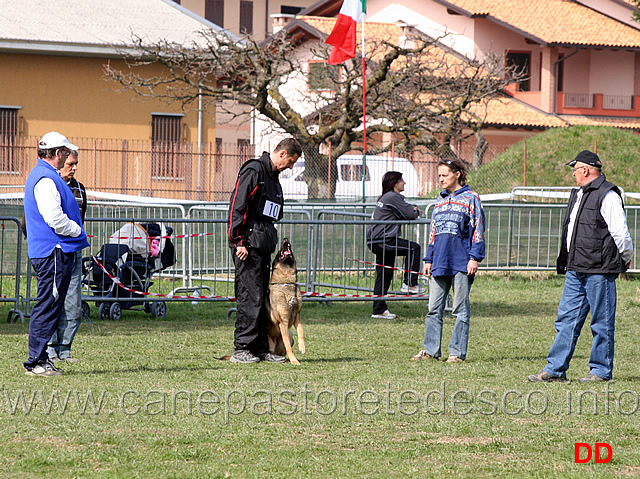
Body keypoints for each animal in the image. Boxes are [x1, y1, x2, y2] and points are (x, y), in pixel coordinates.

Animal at [266, 238, 304, 366]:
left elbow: (301, 331)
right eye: (278, 252)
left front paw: (302, 347)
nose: (285, 239)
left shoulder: (297, 316)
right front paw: (294, 360)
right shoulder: (283, 322)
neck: (286, 283)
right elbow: (288, 347)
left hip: (291, 336)